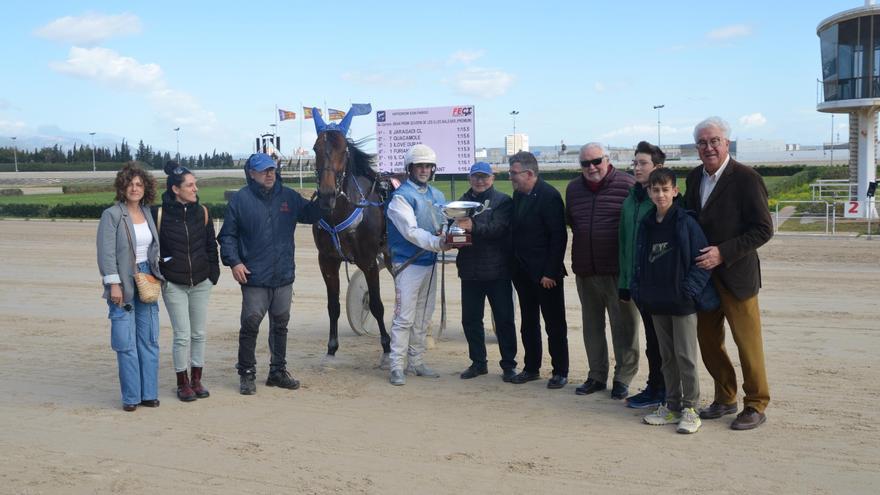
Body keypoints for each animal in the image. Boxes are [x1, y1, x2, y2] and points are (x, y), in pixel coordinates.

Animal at [312, 109, 390, 368]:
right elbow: (333, 306)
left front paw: (387, 349)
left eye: (342, 149)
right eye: (316, 148)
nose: (326, 195)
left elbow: (376, 304)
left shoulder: (369, 261)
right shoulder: (327, 261)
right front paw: (331, 349)